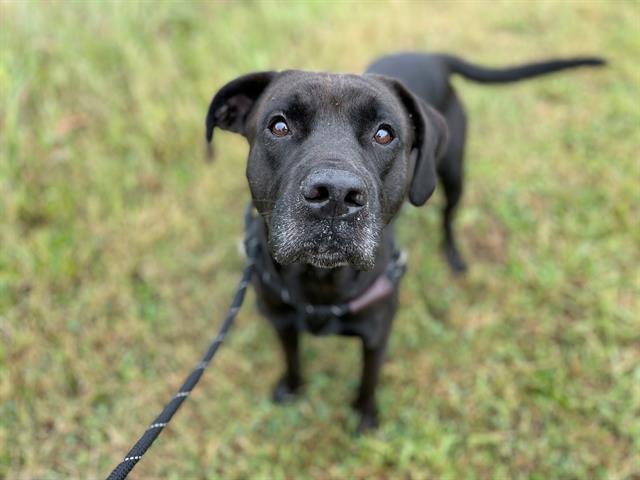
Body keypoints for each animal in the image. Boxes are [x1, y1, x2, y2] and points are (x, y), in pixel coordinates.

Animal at [206, 51, 604, 432]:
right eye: (279, 126)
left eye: (384, 134)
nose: (335, 194)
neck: (320, 281)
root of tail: (432, 55)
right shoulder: (282, 321)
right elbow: (291, 357)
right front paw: (291, 388)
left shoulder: (377, 336)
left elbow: (368, 380)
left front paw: (365, 418)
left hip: (453, 175)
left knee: (447, 218)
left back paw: (454, 256)